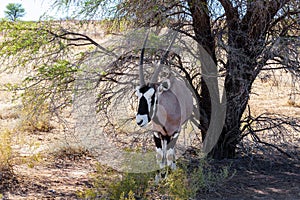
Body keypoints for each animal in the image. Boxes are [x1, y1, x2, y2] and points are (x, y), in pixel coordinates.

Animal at [135, 31, 193, 175]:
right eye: (138, 96)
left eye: (153, 96)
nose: (140, 120)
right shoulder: (156, 133)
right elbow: (160, 155)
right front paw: (159, 176)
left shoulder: (175, 133)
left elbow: (170, 155)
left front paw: (170, 175)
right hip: (163, 135)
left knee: (170, 152)